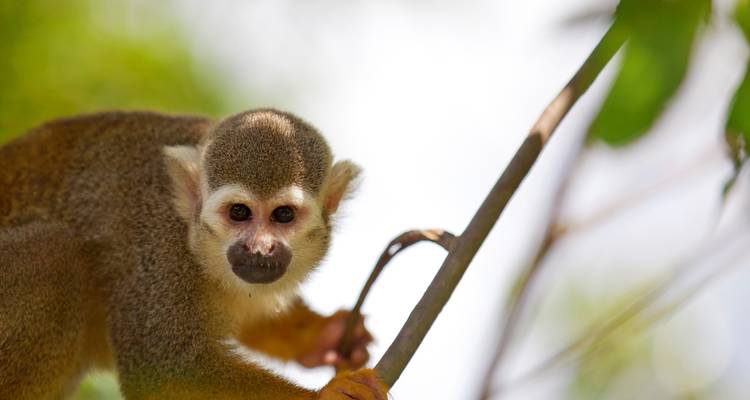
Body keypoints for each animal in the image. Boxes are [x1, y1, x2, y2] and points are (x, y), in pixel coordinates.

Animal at [0, 109, 388, 400]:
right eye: (238, 212)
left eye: (283, 215)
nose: (259, 248)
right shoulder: (159, 251)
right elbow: (163, 373)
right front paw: (326, 396)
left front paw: (322, 336)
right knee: (53, 255)